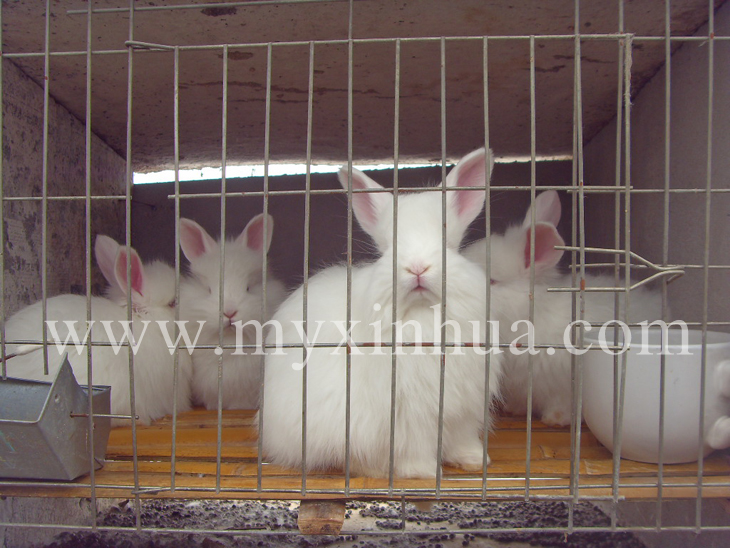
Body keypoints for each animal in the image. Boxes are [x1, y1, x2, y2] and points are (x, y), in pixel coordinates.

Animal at [258, 148, 503, 479]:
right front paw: (425, 471)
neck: (423, 314)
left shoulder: (461, 408)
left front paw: (476, 459)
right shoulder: (407, 413)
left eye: (446, 244)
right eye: (389, 248)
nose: (417, 267)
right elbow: (414, 446)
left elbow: (460, 438)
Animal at [463, 190, 665, 426]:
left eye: (492, 281)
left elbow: (563, 403)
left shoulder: (565, 384)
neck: (531, 316)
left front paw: (555, 419)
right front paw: (514, 410)